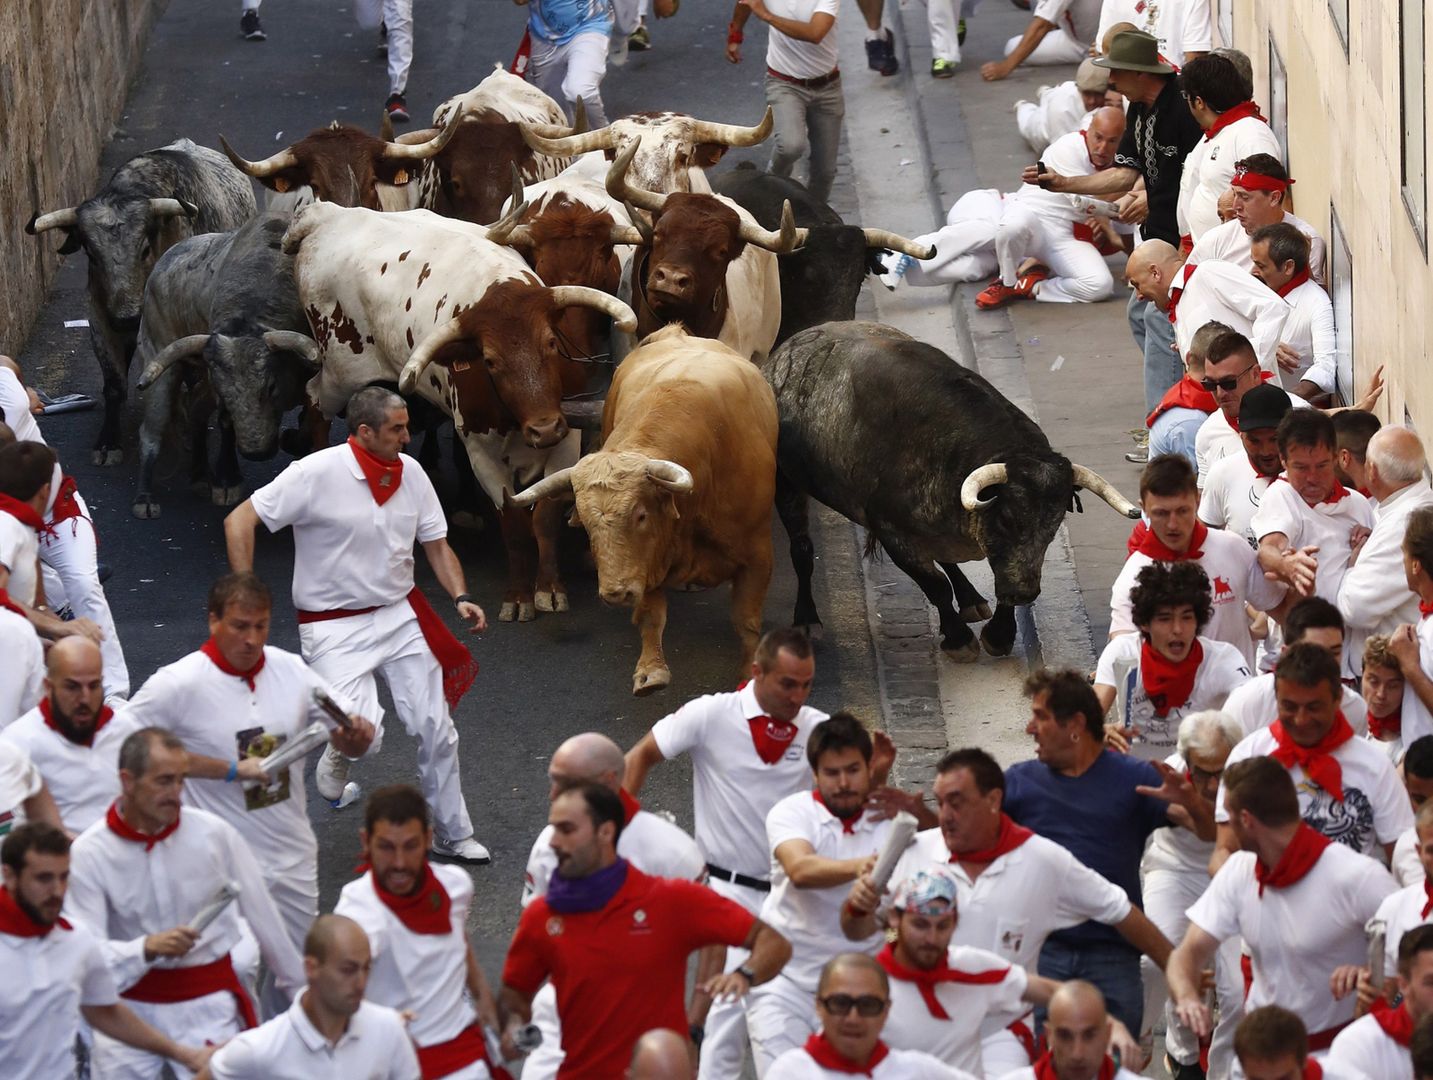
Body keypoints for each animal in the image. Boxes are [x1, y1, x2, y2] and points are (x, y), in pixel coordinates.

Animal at [25, 138, 256, 464]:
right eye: (91, 254)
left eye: (145, 248)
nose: (127, 318)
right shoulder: (100, 320)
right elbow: (114, 383)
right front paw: (108, 442)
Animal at [130, 213, 320, 518]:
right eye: (226, 393)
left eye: (271, 386)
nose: (255, 452)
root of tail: (162, 263)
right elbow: (225, 422)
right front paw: (228, 479)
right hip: (159, 362)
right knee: (151, 429)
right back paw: (144, 496)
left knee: (195, 410)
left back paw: (200, 476)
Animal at [515, 322, 779, 690]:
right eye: (587, 525)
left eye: (640, 515)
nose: (615, 593)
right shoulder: (648, 561)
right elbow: (651, 615)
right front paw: (651, 671)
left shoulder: (758, 557)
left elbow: (747, 621)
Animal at [762, 319, 1140, 656]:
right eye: (1007, 519)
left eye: (1055, 521)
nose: (1025, 593)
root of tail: (779, 356)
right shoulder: (894, 535)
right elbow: (936, 587)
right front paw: (959, 640)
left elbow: (992, 576)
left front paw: (999, 635)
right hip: (786, 484)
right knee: (801, 549)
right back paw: (807, 619)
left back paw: (971, 599)